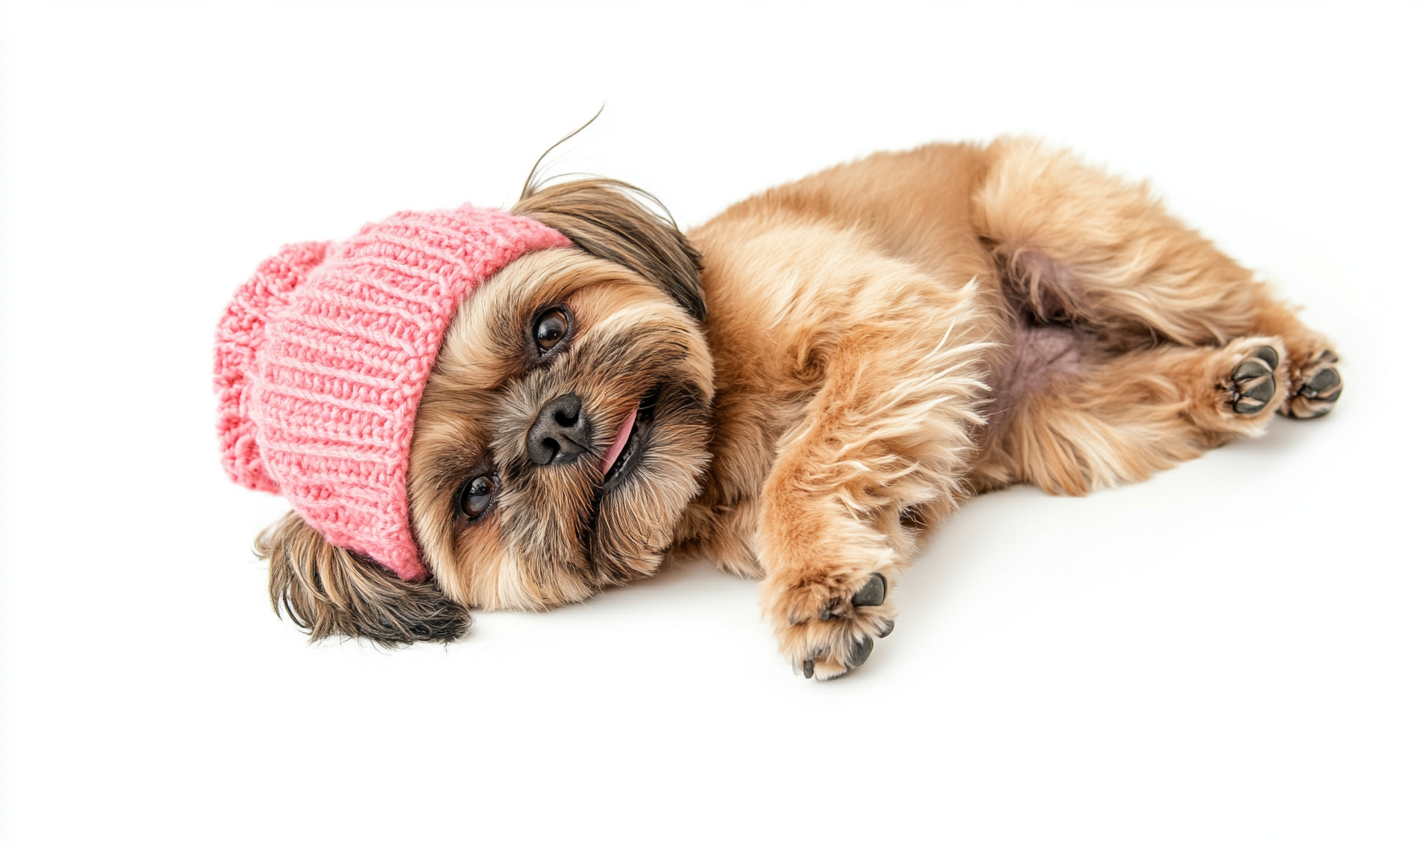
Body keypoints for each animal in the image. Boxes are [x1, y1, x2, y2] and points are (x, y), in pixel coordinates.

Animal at [210, 140, 1332, 682]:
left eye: (548, 328)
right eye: (477, 493)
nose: (554, 424)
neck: (716, 427)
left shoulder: (889, 321)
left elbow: (804, 463)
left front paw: (807, 588)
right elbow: (835, 484)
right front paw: (820, 568)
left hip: (1066, 228)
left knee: (1229, 289)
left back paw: (1296, 359)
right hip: (1070, 424)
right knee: (1148, 388)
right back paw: (1230, 383)